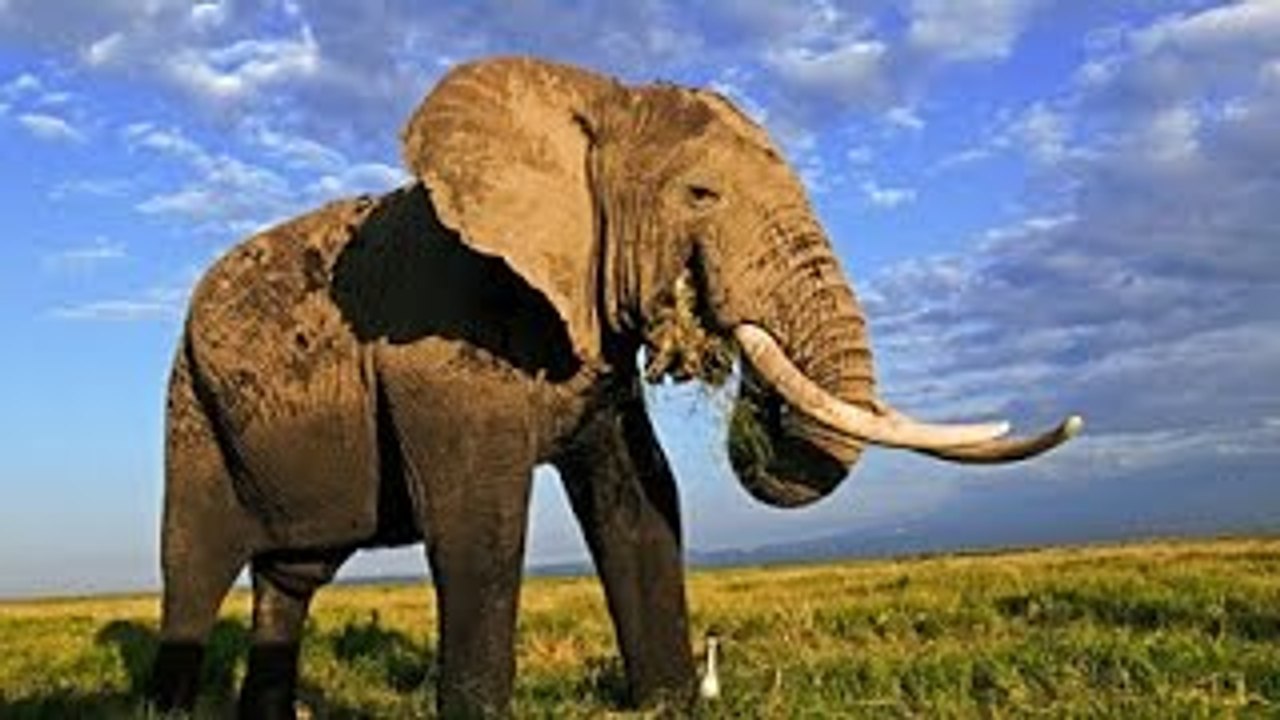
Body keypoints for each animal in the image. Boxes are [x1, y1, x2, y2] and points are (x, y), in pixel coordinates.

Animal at [145, 56, 1081, 718]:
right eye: (699, 194)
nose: (707, 327)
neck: (589, 105)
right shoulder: (437, 341)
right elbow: (479, 525)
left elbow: (641, 500)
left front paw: (668, 705)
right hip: (189, 401)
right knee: (193, 566)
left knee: (289, 579)